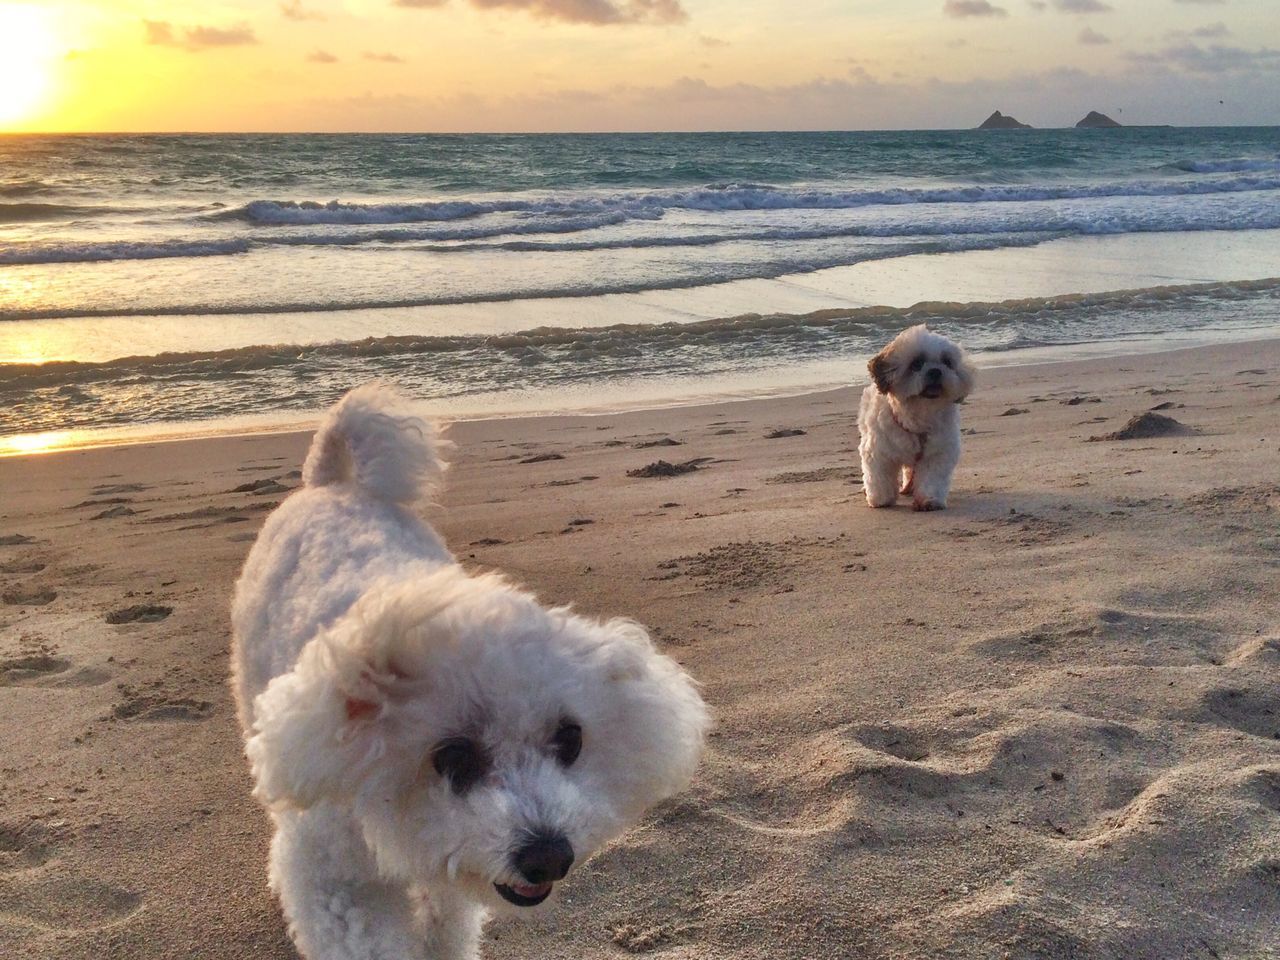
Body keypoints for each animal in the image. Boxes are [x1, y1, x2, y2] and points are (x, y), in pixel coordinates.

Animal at [230, 386, 711, 960]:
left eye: (570, 740)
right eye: (453, 757)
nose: (550, 857)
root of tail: (335, 484)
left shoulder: (446, 873)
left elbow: (447, 921)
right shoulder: (334, 880)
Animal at [860, 325, 977, 512]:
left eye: (947, 362)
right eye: (916, 363)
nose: (935, 371)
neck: (919, 416)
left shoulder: (937, 453)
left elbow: (932, 478)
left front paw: (930, 500)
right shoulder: (878, 452)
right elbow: (879, 477)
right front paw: (881, 499)